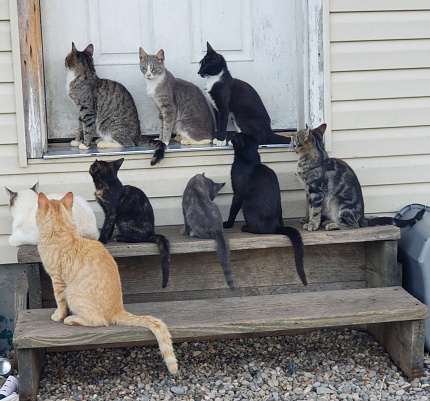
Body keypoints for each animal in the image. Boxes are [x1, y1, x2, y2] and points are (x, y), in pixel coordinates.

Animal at [34, 191, 179, 372]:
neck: (63, 232)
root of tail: (118, 309)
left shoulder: (57, 280)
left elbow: (59, 302)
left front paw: (59, 315)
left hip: (73, 294)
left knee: (100, 322)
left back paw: (72, 319)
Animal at [88, 157, 170, 288]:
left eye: (92, 166)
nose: (89, 166)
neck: (109, 183)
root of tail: (151, 233)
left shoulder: (111, 213)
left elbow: (106, 226)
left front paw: (102, 240)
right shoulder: (111, 214)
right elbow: (109, 227)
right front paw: (107, 238)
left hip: (123, 220)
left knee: (137, 239)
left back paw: (120, 238)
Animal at [223, 133, 308, 286]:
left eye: (236, 135)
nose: (230, 135)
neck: (250, 160)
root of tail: (275, 227)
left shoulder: (237, 193)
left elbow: (232, 209)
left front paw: (227, 224)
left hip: (247, 205)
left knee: (258, 230)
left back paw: (245, 228)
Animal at [290, 123, 424, 230]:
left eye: (296, 135)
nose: (291, 134)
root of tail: (362, 218)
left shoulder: (315, 191)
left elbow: (315, 211)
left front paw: (312, 224)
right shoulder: (308, 191)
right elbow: (308, 208)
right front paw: (306, 219)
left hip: (337, 201)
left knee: (353, 225)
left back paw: (332, 225)